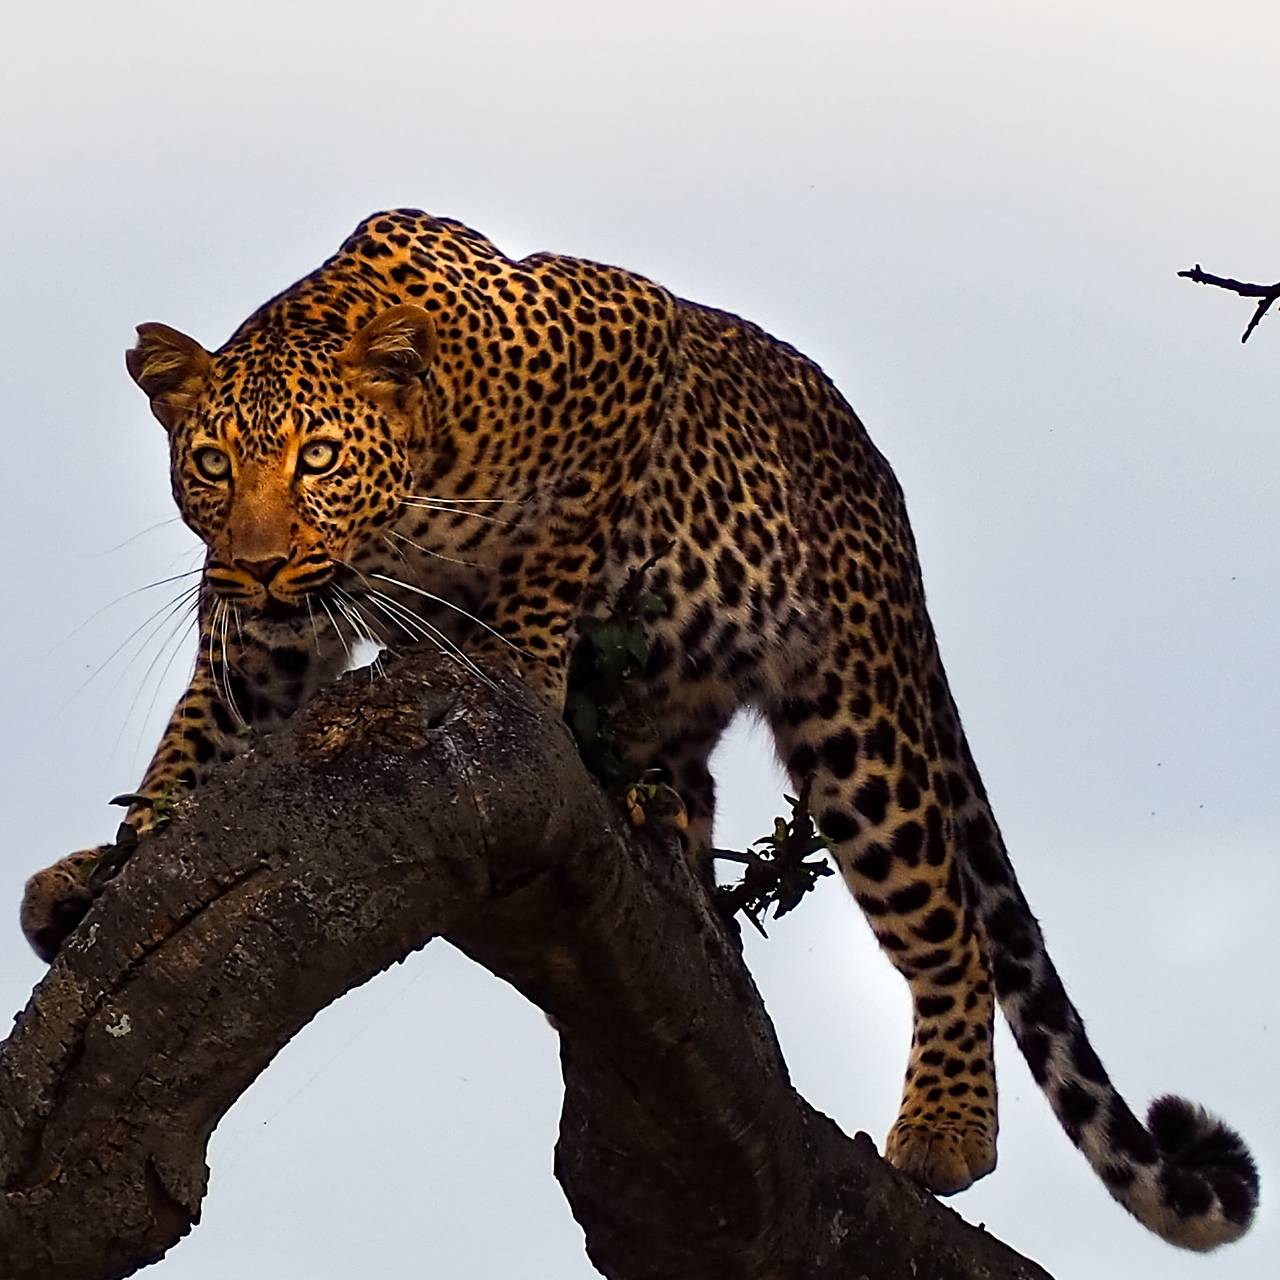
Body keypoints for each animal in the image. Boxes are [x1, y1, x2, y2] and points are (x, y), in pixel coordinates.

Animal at [22, 209, 1259, 1249]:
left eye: (317, 457)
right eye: (211, 464)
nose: (261, 561)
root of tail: (879, 481)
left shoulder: (627, 341)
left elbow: (555, 538)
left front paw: (517, 656)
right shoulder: (263, 641)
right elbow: (198, 742)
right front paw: (115, 864)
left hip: (855, 712)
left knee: (946, 914)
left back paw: (945, 1130)